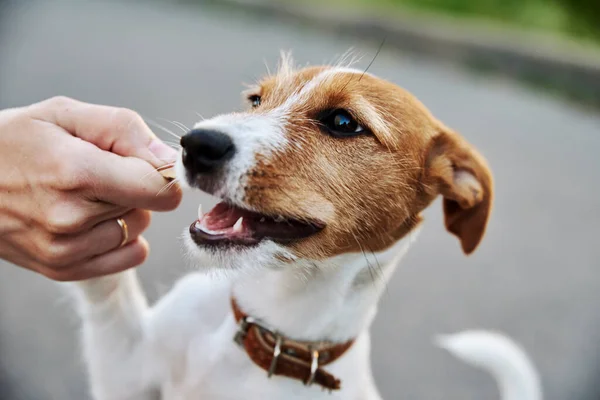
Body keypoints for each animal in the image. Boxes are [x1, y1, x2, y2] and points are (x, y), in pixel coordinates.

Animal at [68, 54, 540, 400]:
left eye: (343, 122)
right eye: (256, 101)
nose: (196, 144)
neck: (267, 327)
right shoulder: (125, 370)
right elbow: (108, 287)